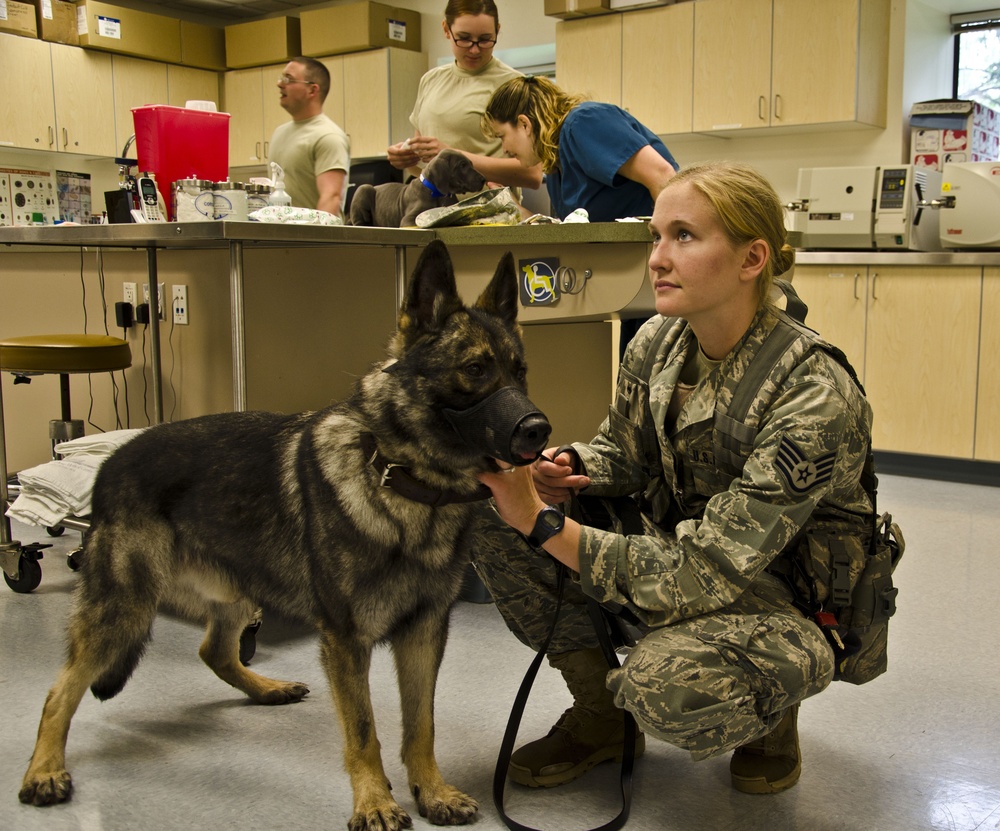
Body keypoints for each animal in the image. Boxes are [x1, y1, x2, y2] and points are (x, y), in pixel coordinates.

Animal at [17, 240, 548, 831]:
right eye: (475, 369)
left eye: (521, 372)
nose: (538, 430)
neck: (399, 481)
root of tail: (110, 462)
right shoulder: (347, 640)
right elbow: (363, 730)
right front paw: (375, 802)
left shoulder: (423, 632)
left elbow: (421, 725)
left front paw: (430, 790)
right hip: (125, 607)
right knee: (59, 690)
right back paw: (44, 770)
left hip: (235, 590)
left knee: (213, 650)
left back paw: (265, 689)